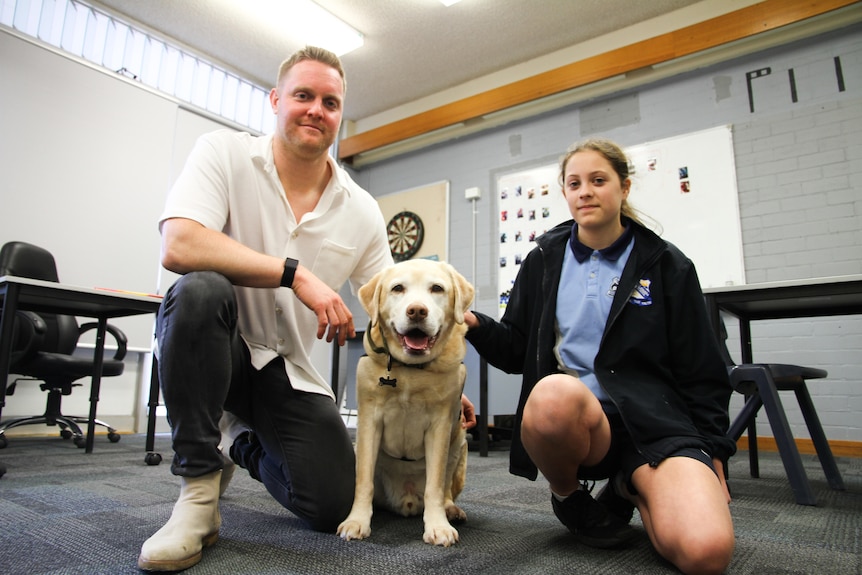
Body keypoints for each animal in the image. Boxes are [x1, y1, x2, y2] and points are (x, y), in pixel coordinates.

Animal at [338, 258, 476, 548]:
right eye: (398, 288)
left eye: (437, 288)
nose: (417, 311)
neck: (411, 370)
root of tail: (408, 500)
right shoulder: (369, 423)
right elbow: (363, 481)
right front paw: (357, 521)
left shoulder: (440, 427)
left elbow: (435, 484)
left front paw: (437, 526)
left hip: (459, 443)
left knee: (445, 488)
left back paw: (450, 510)